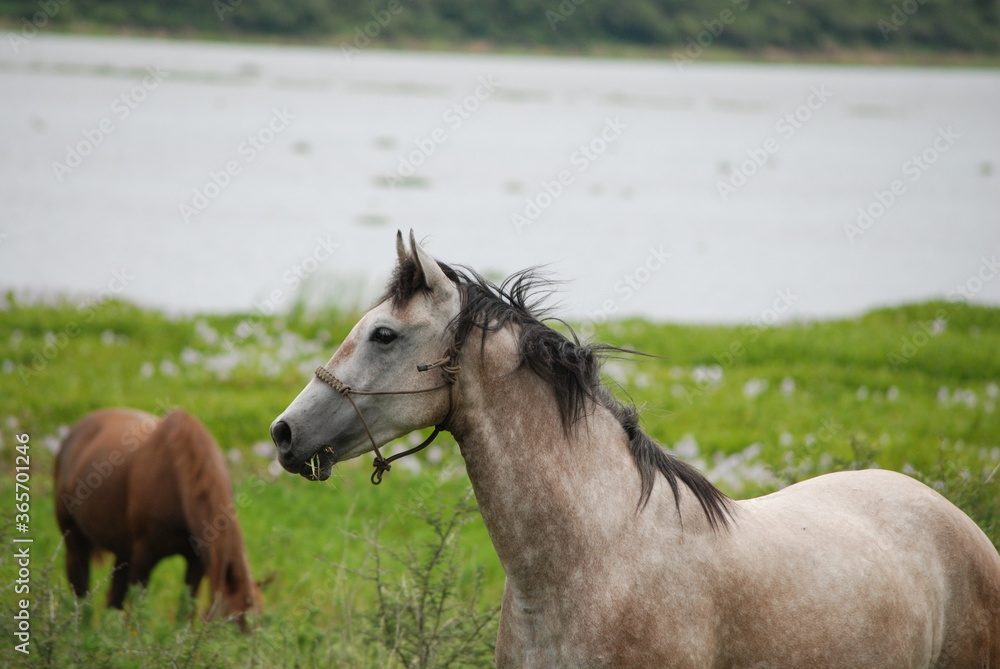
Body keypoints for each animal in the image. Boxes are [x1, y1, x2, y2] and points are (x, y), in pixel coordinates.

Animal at [54, 404, 262, 628]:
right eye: (229, 623)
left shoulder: (196, 562)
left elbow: (186, 609)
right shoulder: (144, 555)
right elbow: (136, 608)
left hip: (122, 550)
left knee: (113, 599)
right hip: (75, 540)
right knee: (80, 588)